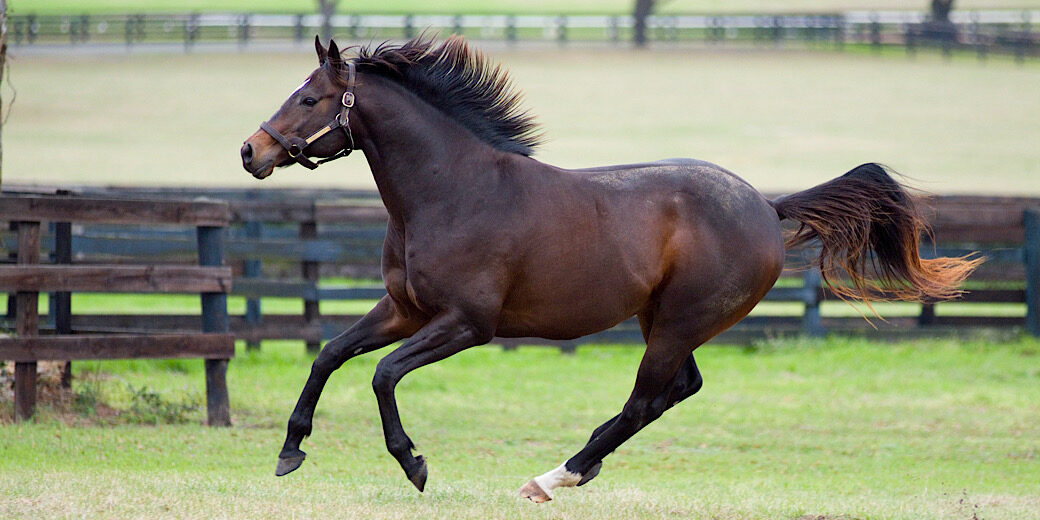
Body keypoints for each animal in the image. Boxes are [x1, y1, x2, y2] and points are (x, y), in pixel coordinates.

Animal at [240, 35, 980, 503]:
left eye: (309, 99)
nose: (251, 151)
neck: (453, 190)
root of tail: (767, 209)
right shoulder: (404, 309)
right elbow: (330, 354)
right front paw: (289, 451)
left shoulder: (467, 324)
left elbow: (383, 374)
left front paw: (414, 464)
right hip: (665, 320)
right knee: (678, 389)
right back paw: (574, 470)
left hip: (678, 321)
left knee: (648, 398)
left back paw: (554, 477)